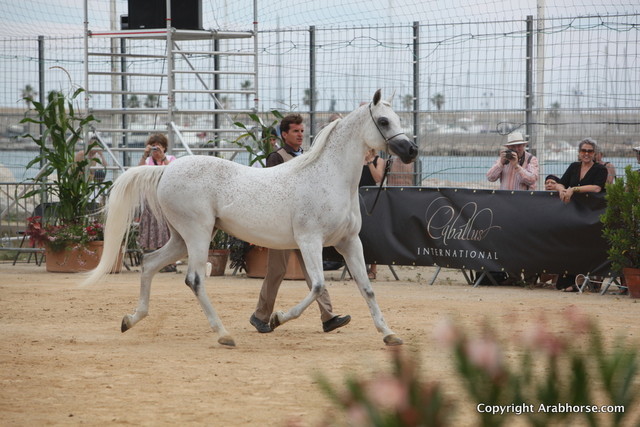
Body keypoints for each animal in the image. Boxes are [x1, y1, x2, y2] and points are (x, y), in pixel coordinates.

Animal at [83, 89, 418, 347]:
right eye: (384, 121)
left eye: (399, 119)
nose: (412, 150)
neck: (328, 176)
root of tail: (166, 169)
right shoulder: (310, 241)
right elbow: (317, 286)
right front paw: (278, 318)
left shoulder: (349, 243)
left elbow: (366, 287)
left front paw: (389, 334)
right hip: (197, 233)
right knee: (194, 279)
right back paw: (224, 335)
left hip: (182, 237)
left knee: (150, 263)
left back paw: (130, 320)